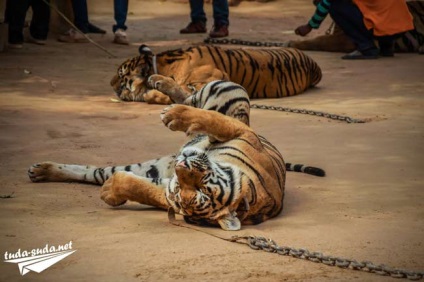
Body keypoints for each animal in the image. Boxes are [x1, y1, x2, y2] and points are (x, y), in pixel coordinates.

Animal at [27, 76, 324, 230]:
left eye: (200, 191)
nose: (182, 165)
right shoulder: (241, 132)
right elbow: (212, 120)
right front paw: (174, 116)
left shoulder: (166, 190)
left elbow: (142, 189)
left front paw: (111, 191)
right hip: (228, 90)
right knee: (195, 99)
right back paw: (160, 86)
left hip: (152, 165)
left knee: (96, 172)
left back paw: (43, 171)